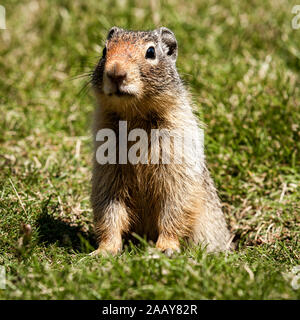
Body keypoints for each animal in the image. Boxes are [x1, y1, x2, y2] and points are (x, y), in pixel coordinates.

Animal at [90, 26, 233, 256]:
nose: (115, 73)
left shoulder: (176, 163)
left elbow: (175, 205)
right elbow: (109, 208)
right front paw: (104, 250)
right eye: (104, 51)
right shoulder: (108, 170)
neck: (134, 115)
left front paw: (165, 248)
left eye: (151, 52)